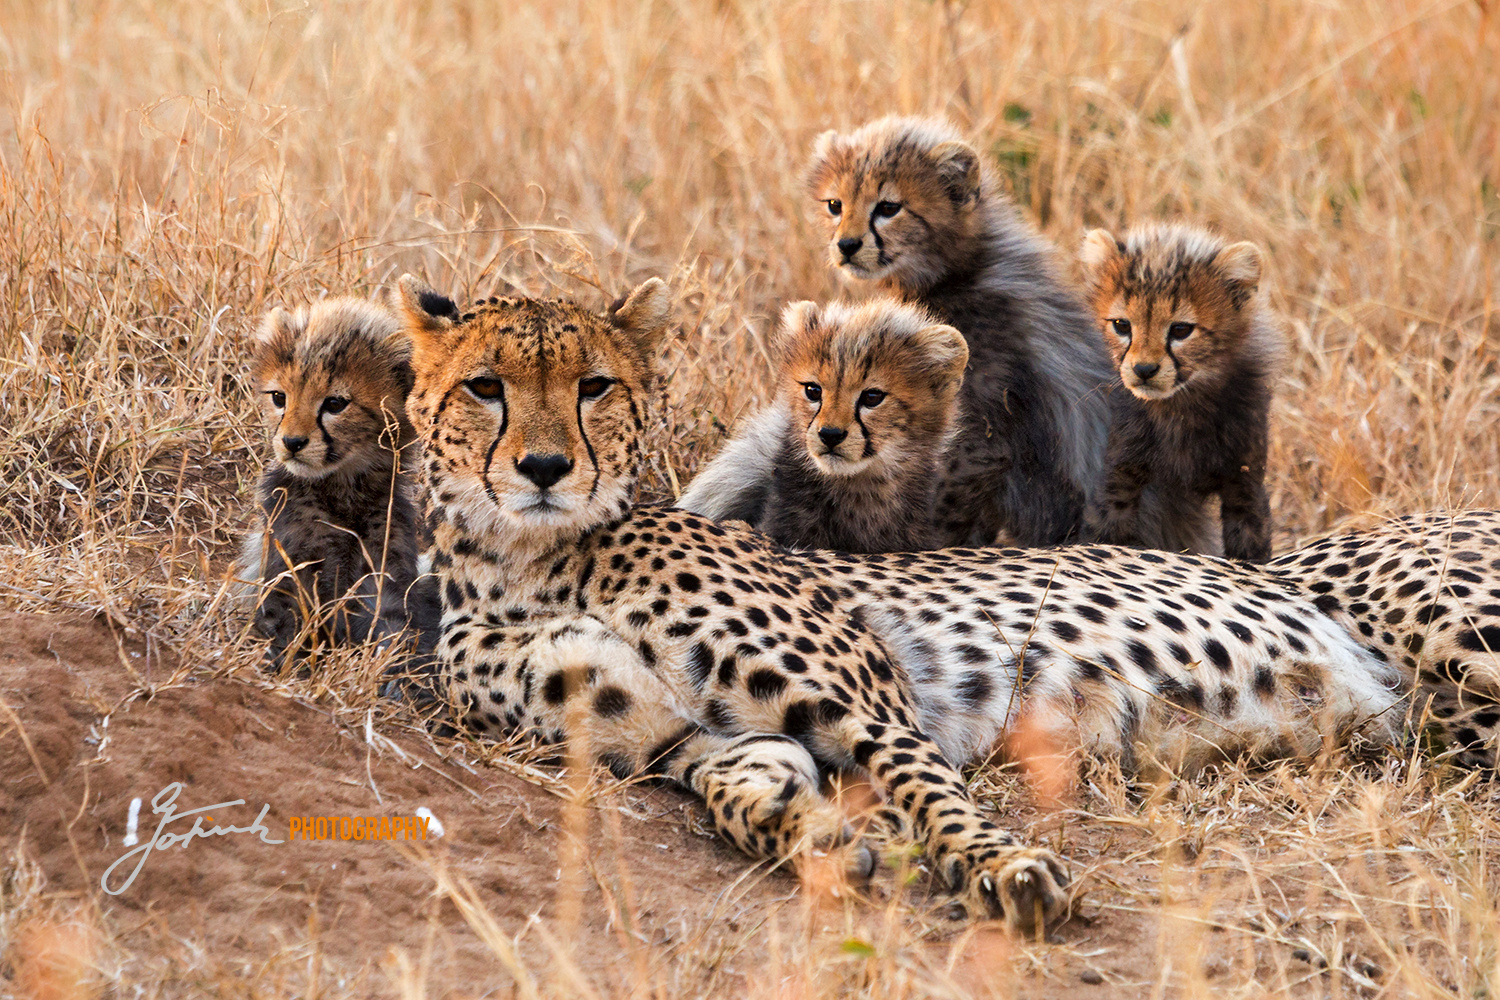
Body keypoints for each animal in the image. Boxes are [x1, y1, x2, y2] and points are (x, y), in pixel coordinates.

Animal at [396, 271, 1488, 929]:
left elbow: (934, 798)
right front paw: (828, 844)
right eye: (486, 386)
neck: (528, 558)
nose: (545, 468)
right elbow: (743, 795)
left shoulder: (873, 704)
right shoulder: (694, 739)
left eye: (594, 386)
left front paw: (1004, 873)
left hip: (1455, 635)